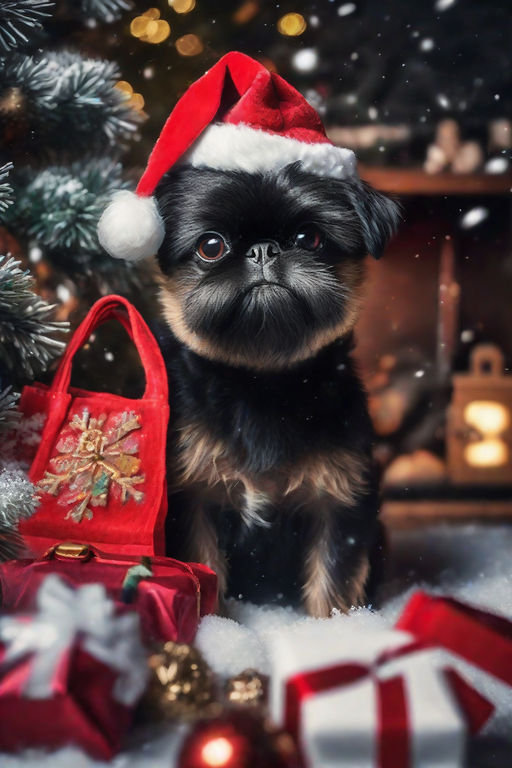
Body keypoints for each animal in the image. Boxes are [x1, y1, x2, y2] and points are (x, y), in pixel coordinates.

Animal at [153, 162, 400, 616]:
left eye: (309, 239)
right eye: (211, 246)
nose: (263, 250)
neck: (263, 386)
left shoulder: (339, 504)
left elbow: (333, 585)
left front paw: (337, 627)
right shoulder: (192, 499)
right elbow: (203, 569)